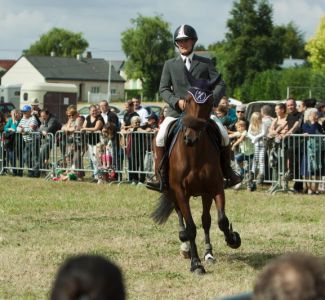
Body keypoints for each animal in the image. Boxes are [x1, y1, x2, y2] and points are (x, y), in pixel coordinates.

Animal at [151, 70, 239, 274]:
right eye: (188, 100)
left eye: (209, 103)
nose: (189, 138)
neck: (194, 153)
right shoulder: (180, 191)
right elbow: (190, 227)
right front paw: (196, 263)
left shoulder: (214, 188)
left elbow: (220, 220)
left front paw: (232, 239)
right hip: (171, 191)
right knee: (181, 217)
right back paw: (185, 247)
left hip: (204, 194)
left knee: (206, 220)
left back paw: (208, 254)